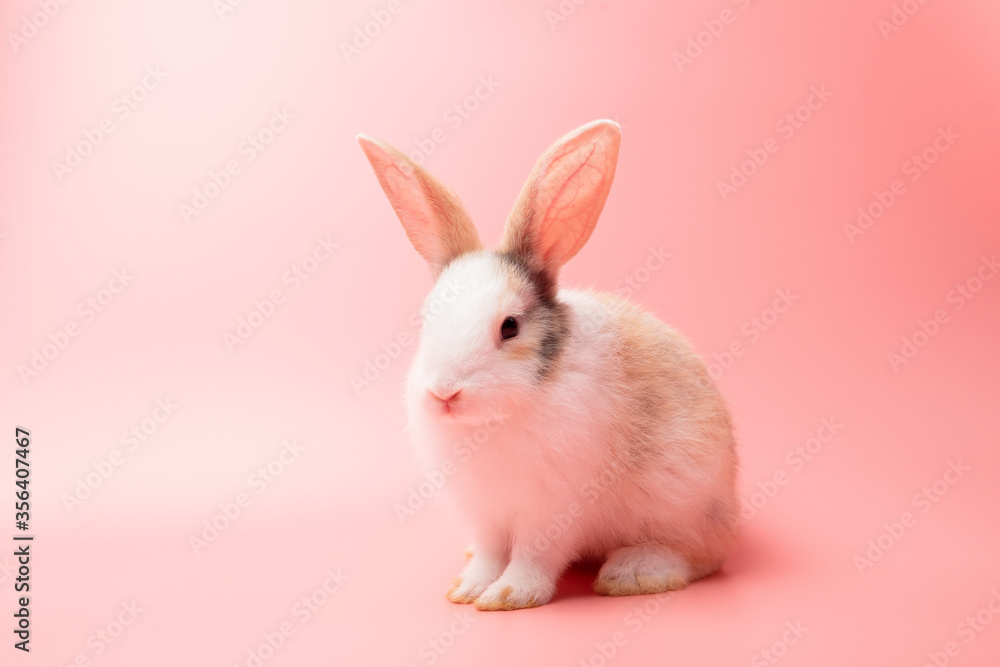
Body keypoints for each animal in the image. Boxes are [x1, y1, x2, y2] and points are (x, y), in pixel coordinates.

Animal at [357, 119, 739, 611]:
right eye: (427, 317)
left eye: (510, 327)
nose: (444, 393)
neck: (492, 421)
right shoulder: (484, 513)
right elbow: (489, 552)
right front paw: (467, 589)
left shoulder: (553, 511)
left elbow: (533, 556)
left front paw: (507, 596)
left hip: (685, 510)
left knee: (695, 556)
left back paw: (632, 574)